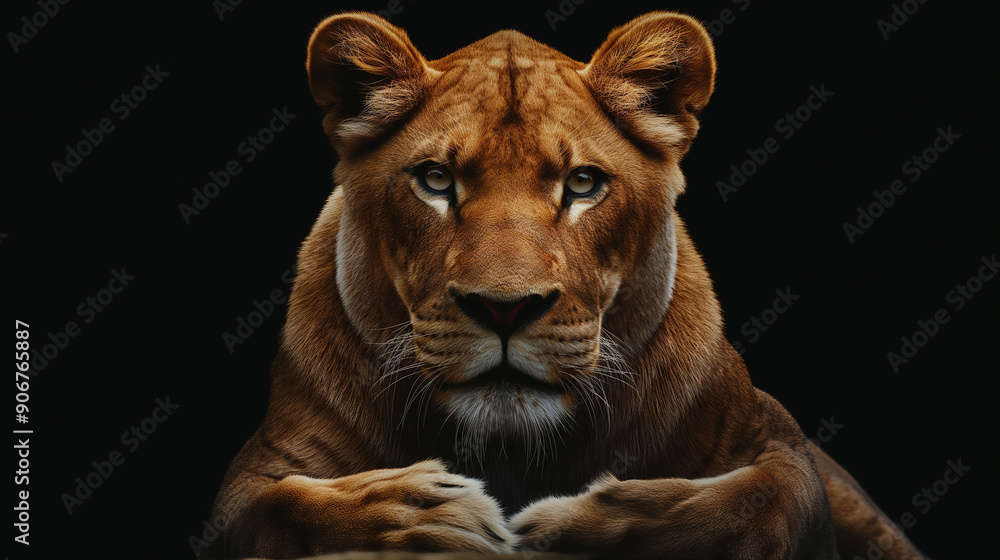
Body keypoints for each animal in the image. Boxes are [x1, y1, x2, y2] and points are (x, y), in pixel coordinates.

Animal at [202, 10, 929, 560]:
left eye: (582, 184)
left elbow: (763, 498)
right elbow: (276, 506)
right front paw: (424, 516)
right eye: (436, 180)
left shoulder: (778, 440)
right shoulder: (260, 464)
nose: (504, 309)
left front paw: (584, 528)